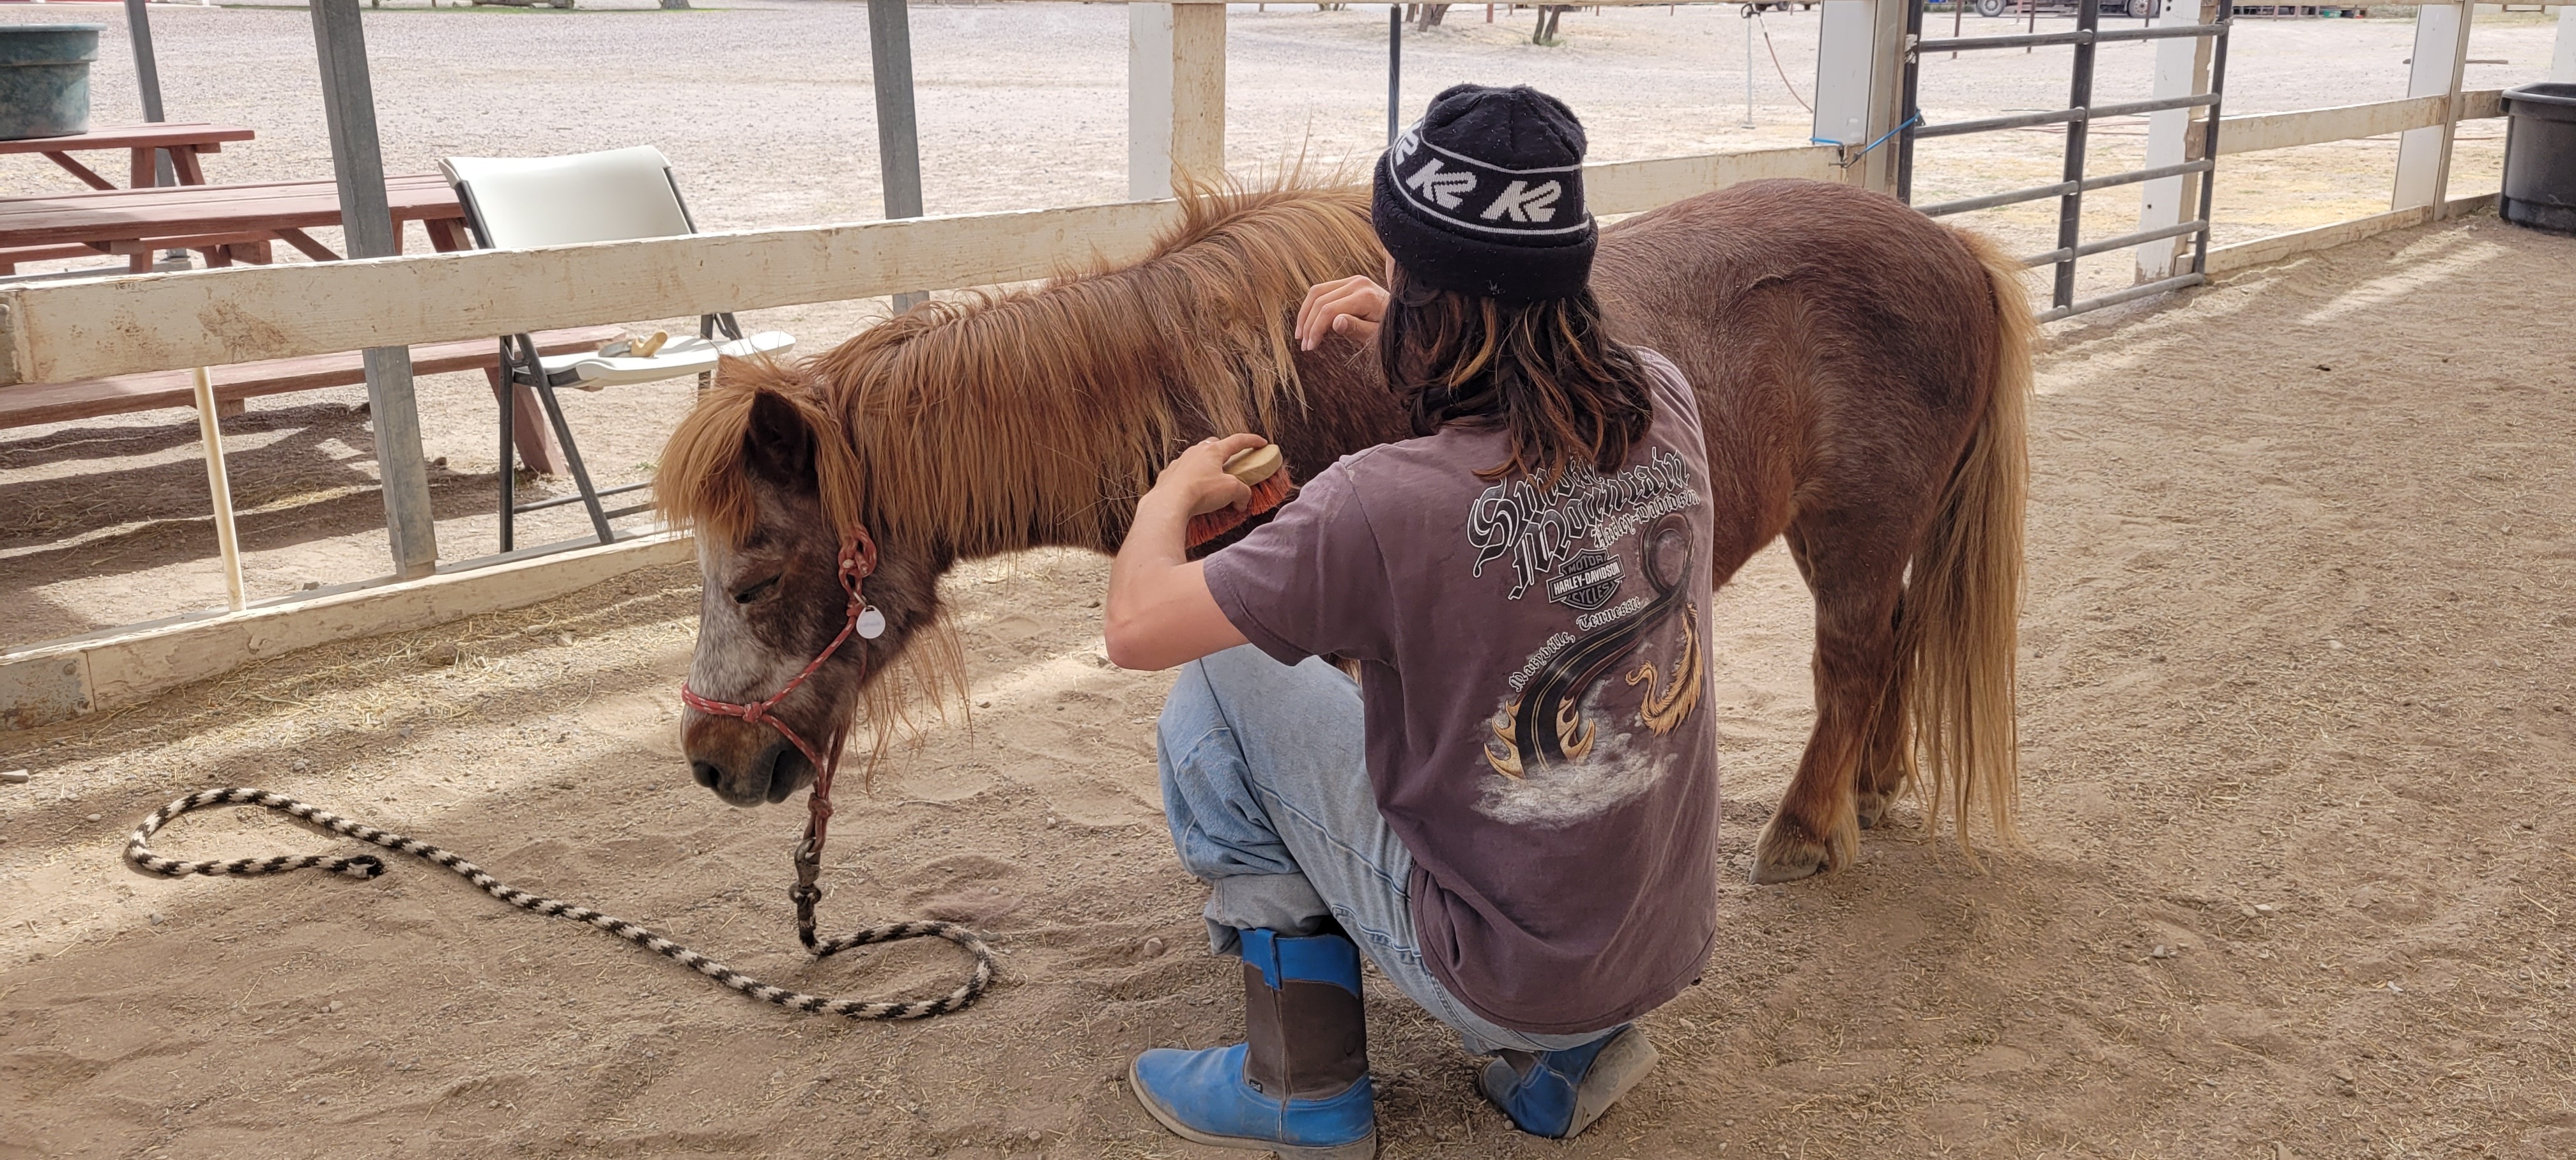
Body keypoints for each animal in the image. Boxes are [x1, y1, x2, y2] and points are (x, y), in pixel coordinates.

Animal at [654, 176, 2033, 885]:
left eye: (755, 574)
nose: (711, 764)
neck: (1246, 388)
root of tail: (1949, 242)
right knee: (1888, 649)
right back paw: (1873, 788)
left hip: (1852, 532)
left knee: (1850, 659)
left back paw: (1807, 829)